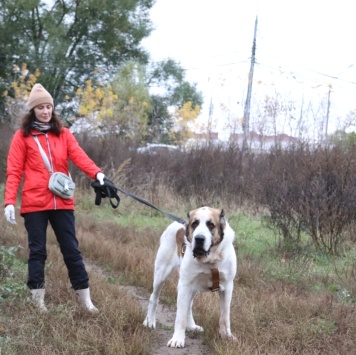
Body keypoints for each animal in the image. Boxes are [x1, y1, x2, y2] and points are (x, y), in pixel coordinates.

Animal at [143, 207, 238, 350]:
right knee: (154, 297)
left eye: (211, 225)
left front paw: (226, 336)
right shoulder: (185, 285)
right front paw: (177, 339)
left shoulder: (227, 287)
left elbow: (225, 316)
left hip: (192, 286)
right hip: (161, 274)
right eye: (195, 224)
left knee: (189, 304)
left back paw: (192, 326)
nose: (199, 238)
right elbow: (180, 316)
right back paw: (149, 321)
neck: (210, 260)